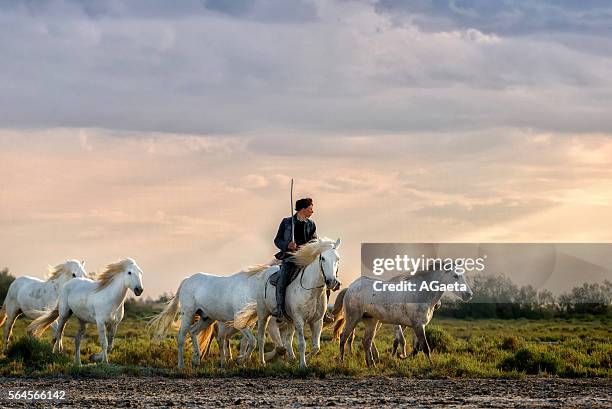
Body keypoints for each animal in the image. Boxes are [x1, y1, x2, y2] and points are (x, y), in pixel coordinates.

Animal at [237, 236, 342, 366]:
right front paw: (303, 365)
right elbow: (302, 344)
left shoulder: (317, 321)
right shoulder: (299, 320)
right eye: (322, 258)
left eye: (338, 258)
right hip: (263, 314)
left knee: (287, 340)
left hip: (289, 320)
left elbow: (316, 347)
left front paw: (304, 359)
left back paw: (291, 357)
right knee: (261, 338)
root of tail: (266, 271)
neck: (311, 289)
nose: (333, 282)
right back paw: (262, 361)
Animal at [338, 266, 470, 364]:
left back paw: (372, 365)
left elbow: (416, 347)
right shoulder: (417, 325)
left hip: (372, 321)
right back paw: (342, 362)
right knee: (344, 337)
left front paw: (404, 357)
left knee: (366, 341)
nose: (469, 294)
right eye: (455, 276)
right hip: (353, 318)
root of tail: (351, 287)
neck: (420, 292)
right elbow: (425, 347)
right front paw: (431, 365)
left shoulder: (416, 326)